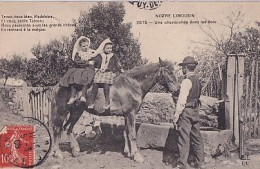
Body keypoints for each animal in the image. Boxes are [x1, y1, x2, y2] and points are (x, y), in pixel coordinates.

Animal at [50, 57, 181, 162]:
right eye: (168, 71)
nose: (178, 90)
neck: (132, 85)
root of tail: (57, 86)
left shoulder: (126, 115)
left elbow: (127, 133)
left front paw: (129, 153)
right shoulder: (131, 114)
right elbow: (132, 134)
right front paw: (137, 156)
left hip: (76, 111)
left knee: (68, 128)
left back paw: (75, 150)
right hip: (63, 111)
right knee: (57, 129)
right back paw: (58, 153)